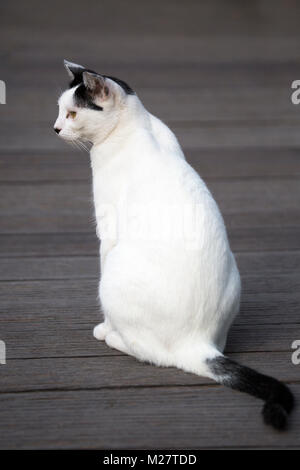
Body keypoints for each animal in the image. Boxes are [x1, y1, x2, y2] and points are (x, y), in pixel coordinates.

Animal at [54, 60, 292, 432]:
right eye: (59, 110)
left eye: (72, 113)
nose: (55, 128)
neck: (137, 126)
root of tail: (198, 343)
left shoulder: (108, 232)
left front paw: (106, 327)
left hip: (115, 274)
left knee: (153, 354)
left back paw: (112, 336)